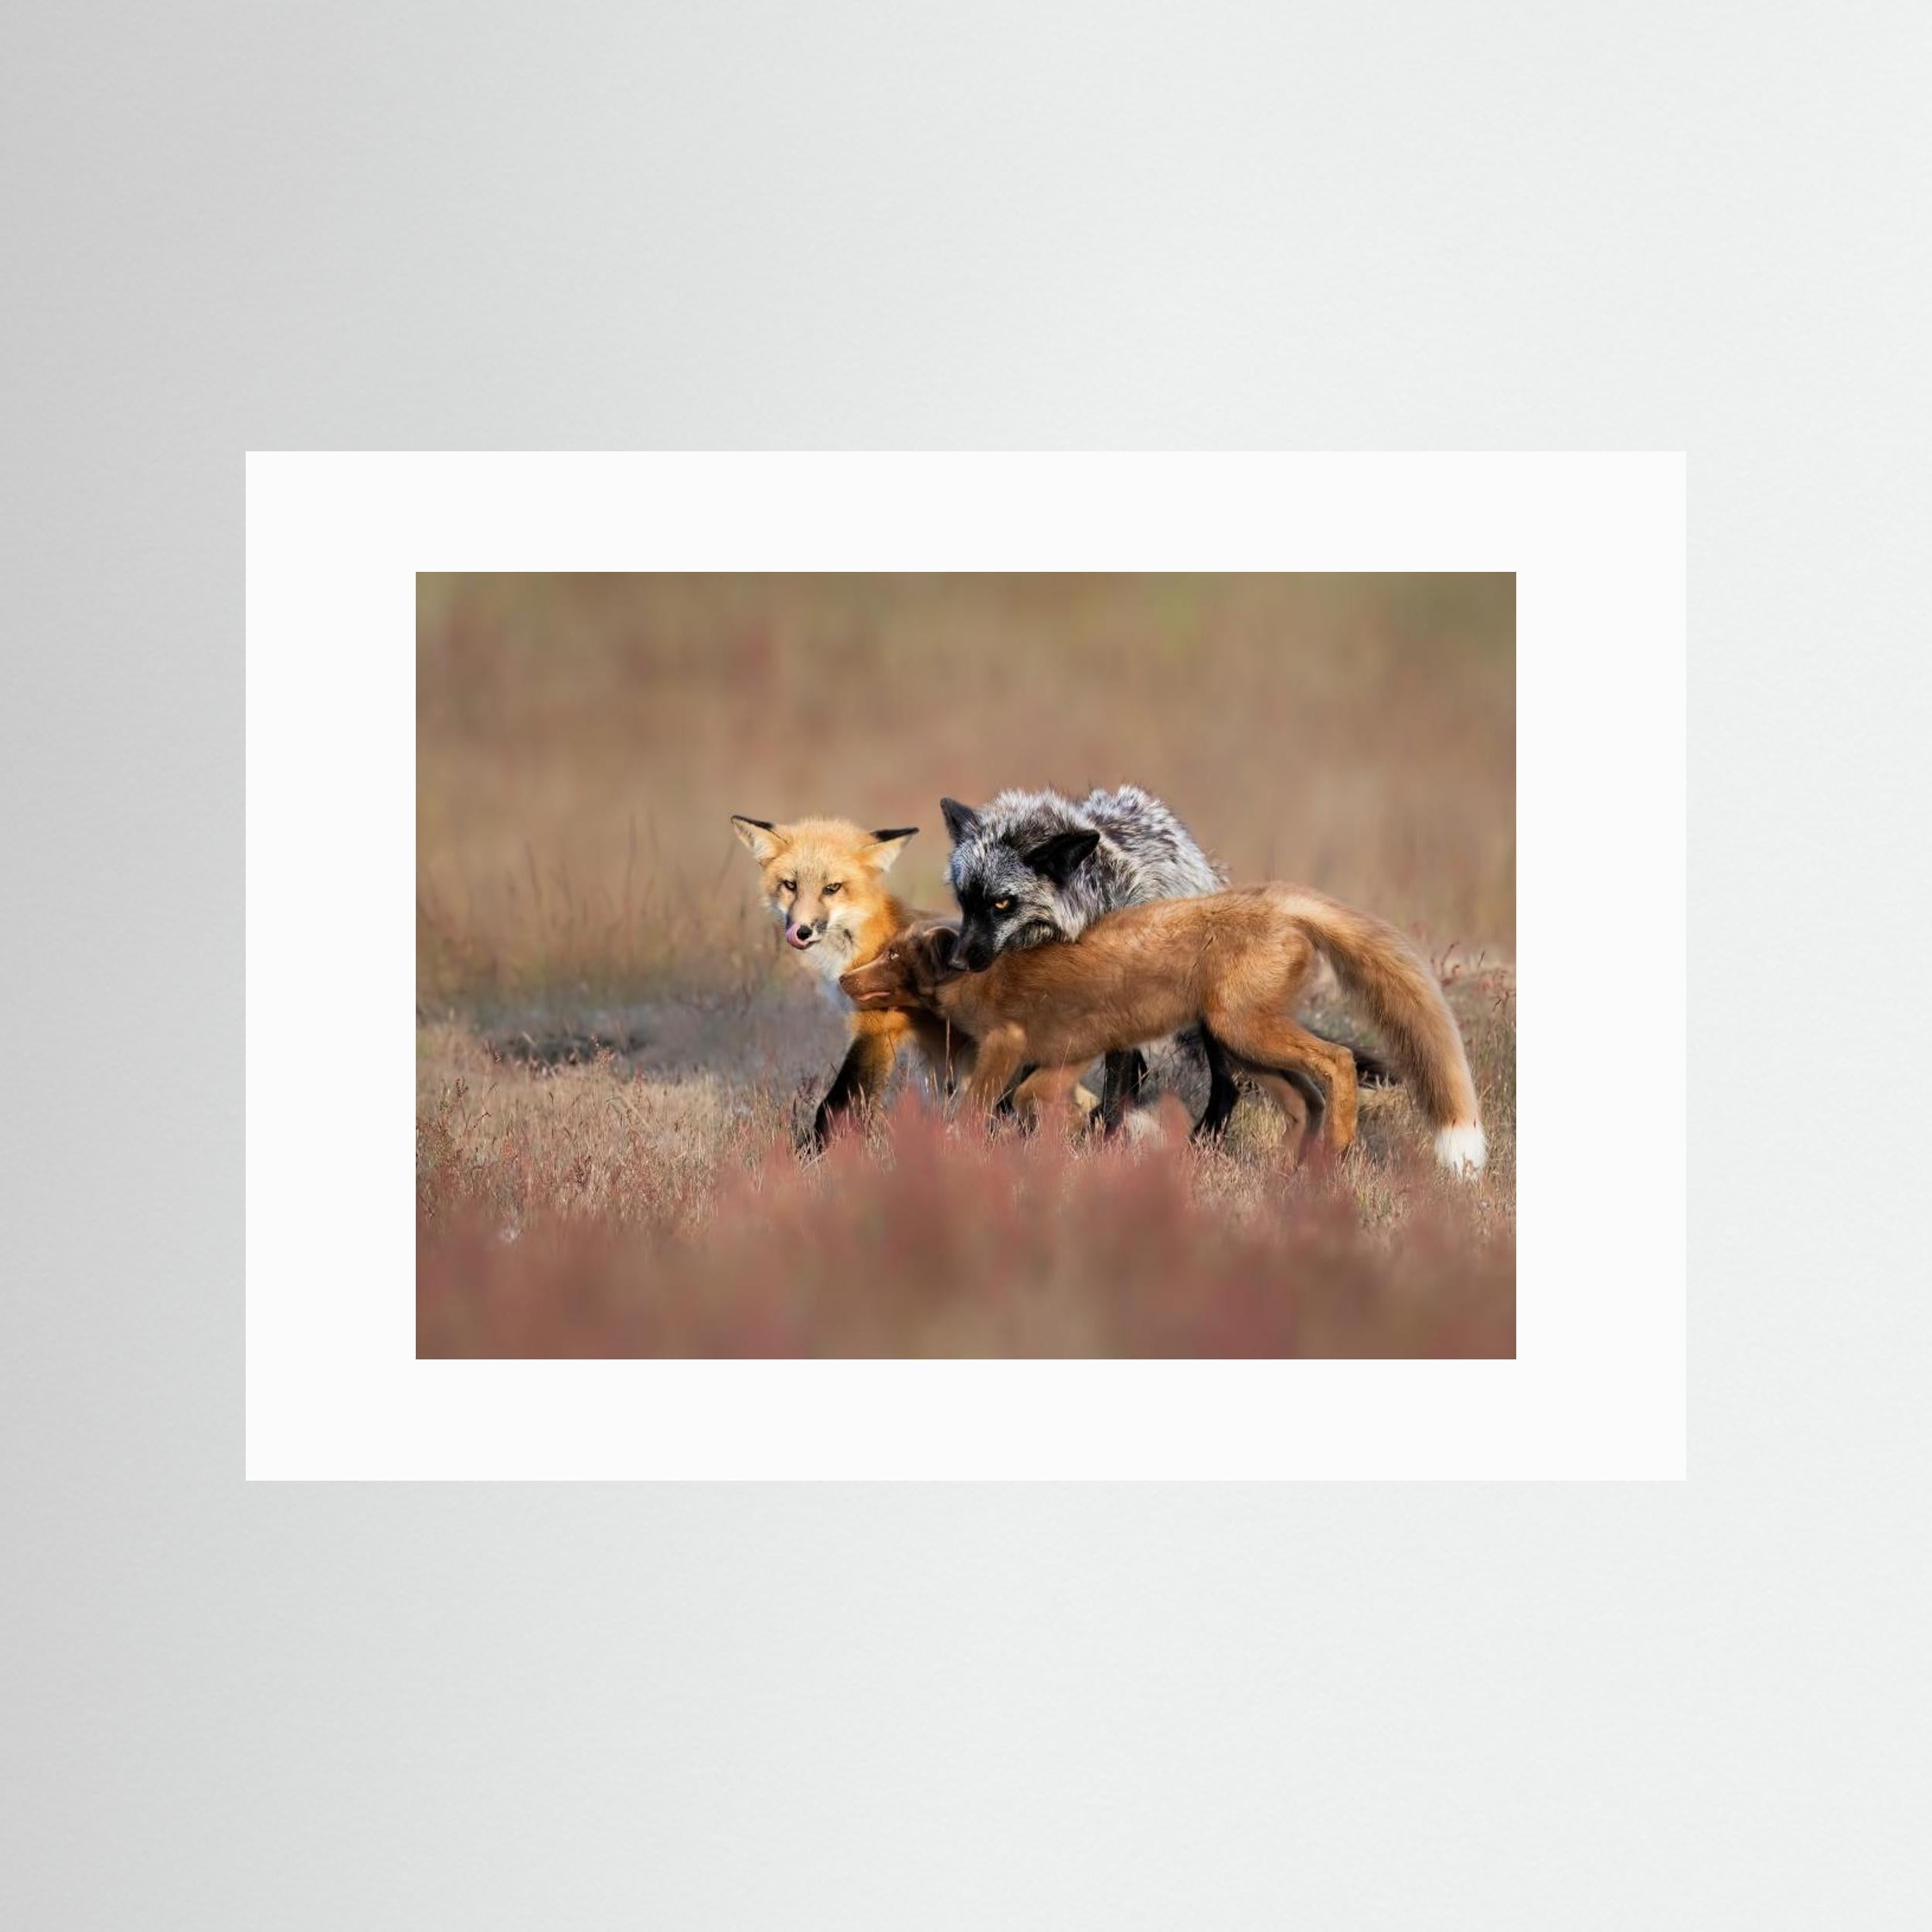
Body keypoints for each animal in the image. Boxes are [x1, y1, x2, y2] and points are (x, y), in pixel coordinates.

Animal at [839, 883, 1488, 1176]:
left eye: (893, 957)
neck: (980, 978)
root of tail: (1278, 899)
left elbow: (980, 1105)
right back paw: (1289, 1171)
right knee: (1305, 1099)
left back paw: (1338, 1148)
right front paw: (1072, 1138)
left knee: (1338, 1062)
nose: (845, 979)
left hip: (1246, 1032)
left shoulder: (1010, 1043)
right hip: (1242, 1047)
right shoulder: (1070, 1053)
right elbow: (1036, 1100)